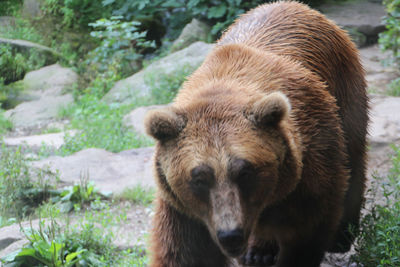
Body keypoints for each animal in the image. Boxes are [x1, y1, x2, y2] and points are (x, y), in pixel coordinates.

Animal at [144, 1, 368, 266]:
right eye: (199, 177)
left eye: (245, 171)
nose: (230, 234)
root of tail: (297, 6)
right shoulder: (183, 208)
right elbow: (187, 253)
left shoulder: (309, 164)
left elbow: (307, 229)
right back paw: (258, 252)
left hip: (345, 89)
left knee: (353, 157)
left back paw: (343, 235)